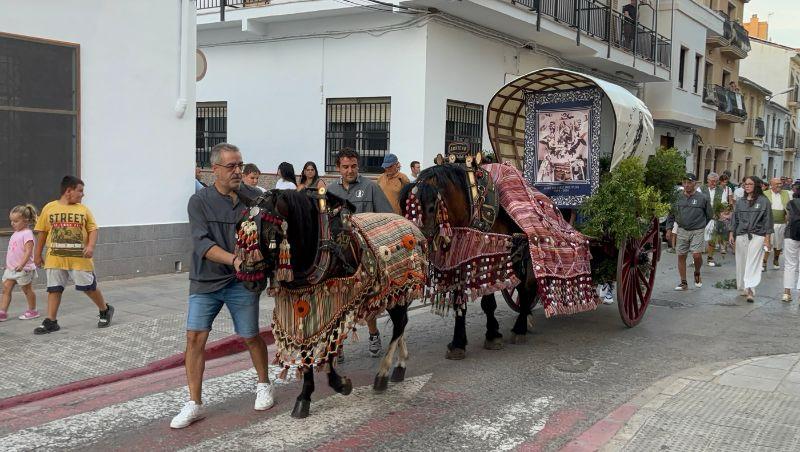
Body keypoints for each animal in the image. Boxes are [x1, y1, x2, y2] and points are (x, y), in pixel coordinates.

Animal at [235, 188, 426, 419]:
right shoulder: (303, 306)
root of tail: (408, 222)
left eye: (271, 232)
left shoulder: (335, 304)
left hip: (402, 284)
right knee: (402, 324)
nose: (249, 280)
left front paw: (340, 383)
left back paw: (383, 373)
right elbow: (306, 351)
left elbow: (329, 348)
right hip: (393, 294)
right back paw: (400, 365)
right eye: (239, 230)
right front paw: (304, 397)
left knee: (399, 324)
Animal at [400, 164, 538, 360]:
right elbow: (459, 301)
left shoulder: (489, 258)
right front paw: (458, 343)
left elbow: (488, 302)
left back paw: (520, 327)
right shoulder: (459, 263)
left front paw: (493, 335)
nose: (415, 246)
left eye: (431, 207)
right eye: (404, 209)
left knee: (527, 286)